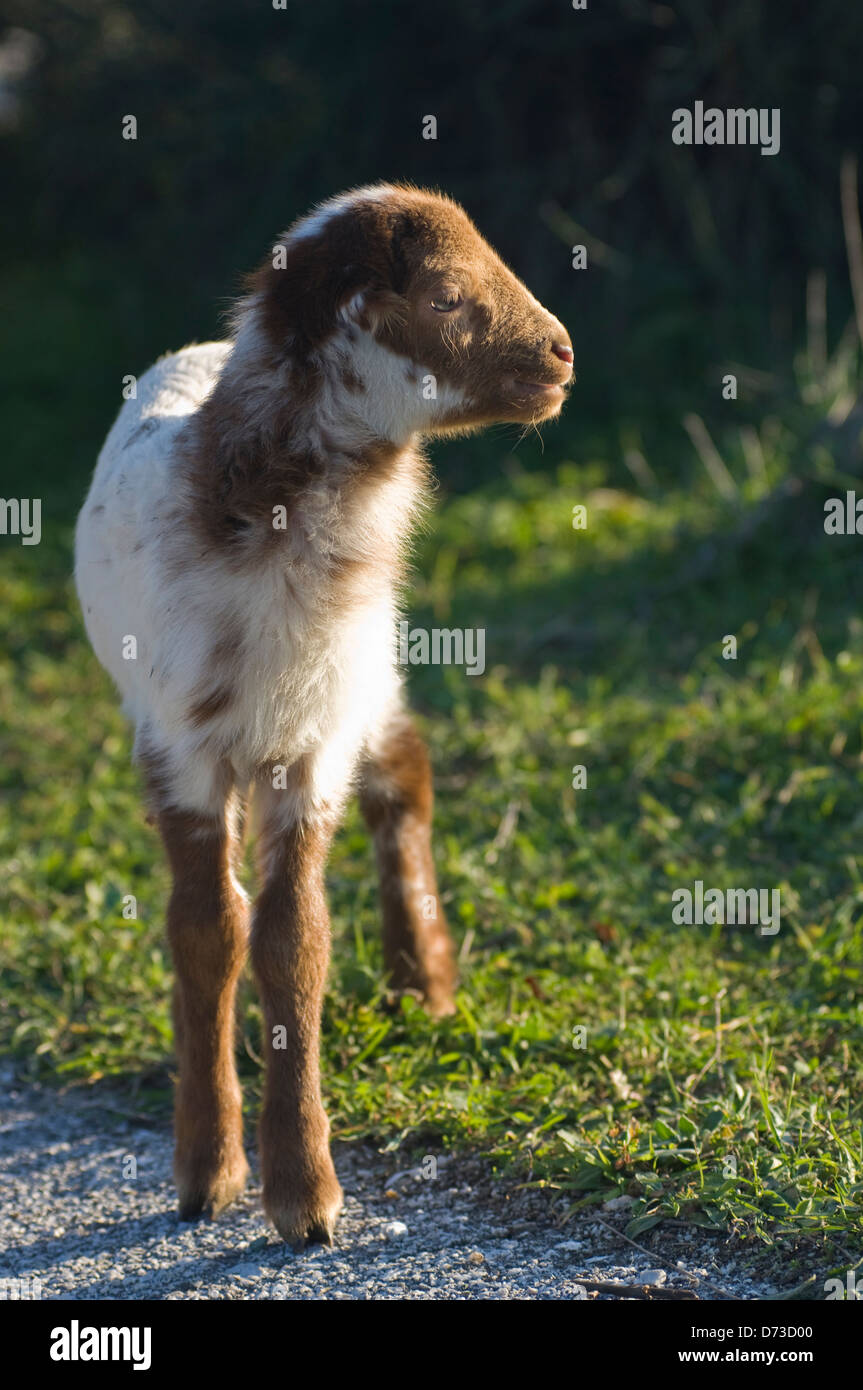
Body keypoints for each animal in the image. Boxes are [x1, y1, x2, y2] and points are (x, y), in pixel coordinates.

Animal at [75, 183, 574, 1246]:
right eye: (444, 296)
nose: (561, 355)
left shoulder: (311, 739)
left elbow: (291, 940)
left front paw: (305, 1198)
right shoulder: (179, 742)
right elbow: (206, 933)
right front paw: (205, 1172)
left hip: (366, 677)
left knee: (408, 775)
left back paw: (421, 981)